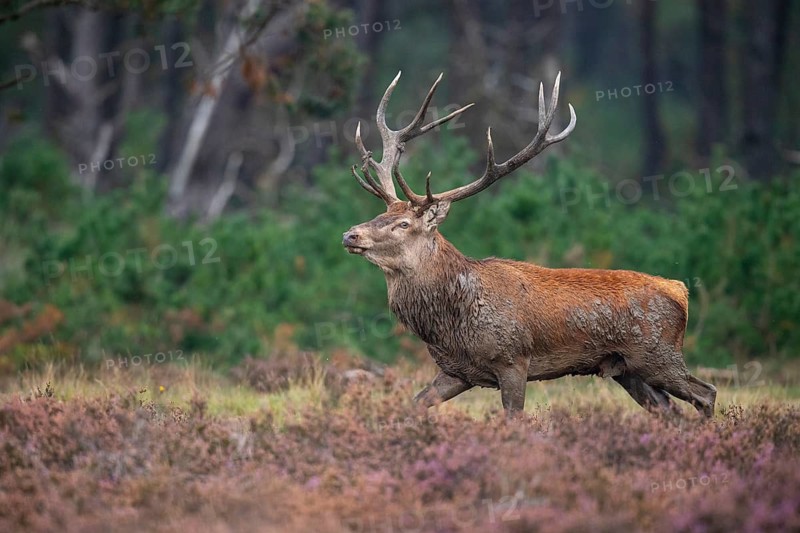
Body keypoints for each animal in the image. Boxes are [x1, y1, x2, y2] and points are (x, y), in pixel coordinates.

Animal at [342, 71, 717, 418]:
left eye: (404, 224)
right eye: (380, 214)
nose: (350, 234)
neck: (451, 323)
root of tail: (680, 289)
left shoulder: (513, 360)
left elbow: (514, 419)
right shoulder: (457, 371)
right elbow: (414, 405)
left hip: (658, 355)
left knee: (706, 393)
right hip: (627, 369)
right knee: (670, 411)